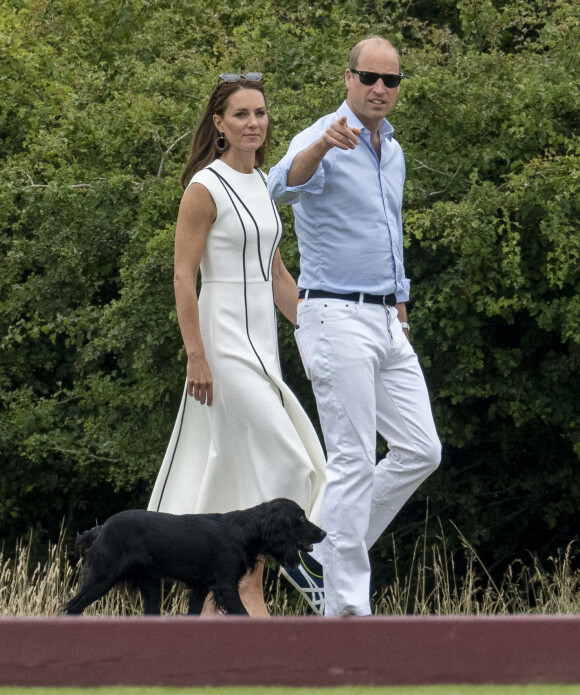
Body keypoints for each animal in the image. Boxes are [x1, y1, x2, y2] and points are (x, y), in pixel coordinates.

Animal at [65, 498, 326, 616]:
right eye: (300, 517)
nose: (323, 533)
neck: (244, 530)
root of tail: (101, 528)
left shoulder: (202, 588)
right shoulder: (226, 586)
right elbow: (243, 613)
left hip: (150, 586)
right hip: (101, 579)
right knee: (73, 606)